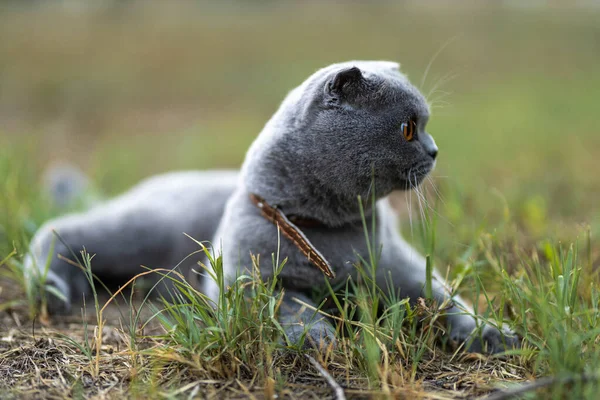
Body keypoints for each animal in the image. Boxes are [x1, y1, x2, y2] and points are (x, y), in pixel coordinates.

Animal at [25, 59, 516, 354]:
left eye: (423, 126)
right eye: (408, 128)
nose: (435, 150)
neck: (328, 235)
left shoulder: (406, 268)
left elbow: (446, 299)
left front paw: (492, 333)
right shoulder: (245, 278)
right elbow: (290, 302)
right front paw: (316, 336)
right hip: (143, 230)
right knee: (59, 228)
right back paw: (52, 286)